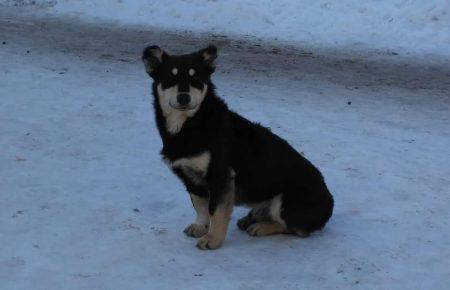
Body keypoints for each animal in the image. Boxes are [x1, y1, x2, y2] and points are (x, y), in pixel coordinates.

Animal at [142, 44, 334, 249]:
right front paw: (200, 226)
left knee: (296, 229)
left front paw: (213, 239)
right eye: (170, 78)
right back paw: (250, 219)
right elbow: (200, 206)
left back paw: (261, 227)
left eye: (197, 79)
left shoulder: (221, 175)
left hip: (286, 201)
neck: (191, 125)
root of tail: (330, 203)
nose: (184, 98)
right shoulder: (190, 178)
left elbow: (215, 211)